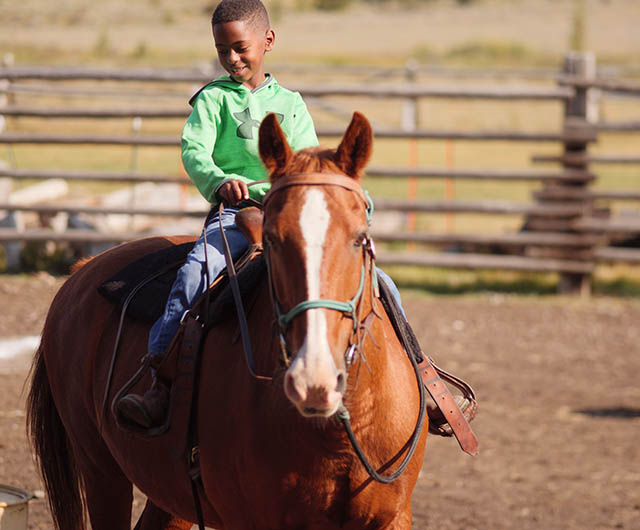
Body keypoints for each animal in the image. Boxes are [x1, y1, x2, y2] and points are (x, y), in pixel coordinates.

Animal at [28, 111, 430, 528]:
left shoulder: (394, 516)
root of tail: (82, 269)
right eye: (273, 239)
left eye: (359, 238)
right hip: (101, 471)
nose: (312, 380)